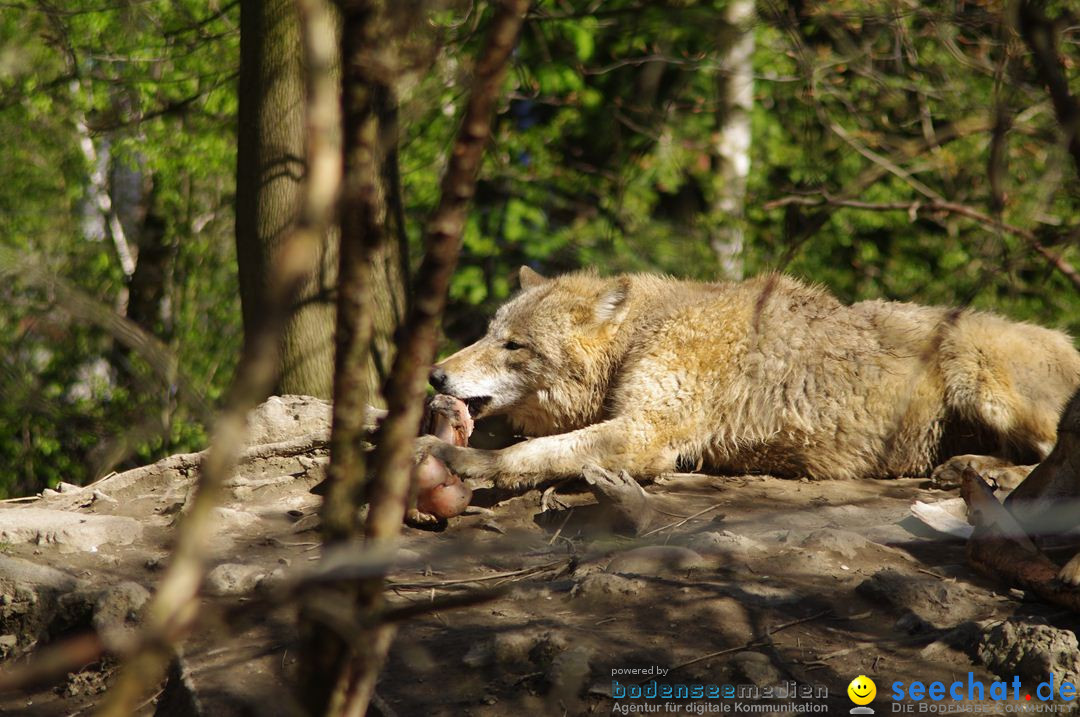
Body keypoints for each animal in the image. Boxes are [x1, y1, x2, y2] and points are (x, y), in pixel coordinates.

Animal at [416, 267, 1080, 492]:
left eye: (514, 345)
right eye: (487, 333)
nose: (435, 375)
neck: (643, 334)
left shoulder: (647, 436)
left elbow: (526, 453)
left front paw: (459, 461)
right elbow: (525, 441)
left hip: (976, 367)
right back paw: (971, 467)